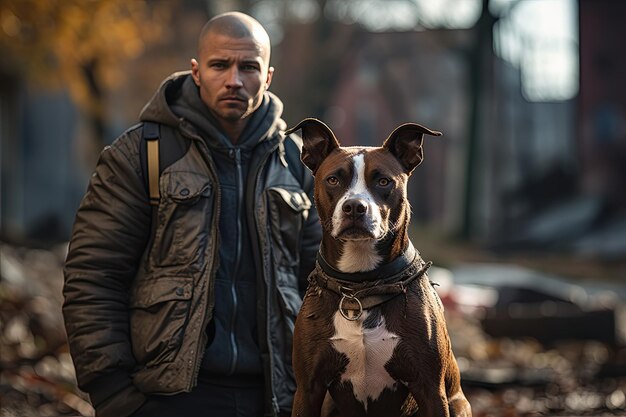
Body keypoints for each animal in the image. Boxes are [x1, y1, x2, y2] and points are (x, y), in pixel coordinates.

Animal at [282, 117, 468, 416]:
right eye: (333, 179)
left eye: (383, 181)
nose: (355, 207)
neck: (360, 286)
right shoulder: (308, 389)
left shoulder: (430, 389)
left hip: (457, 404)